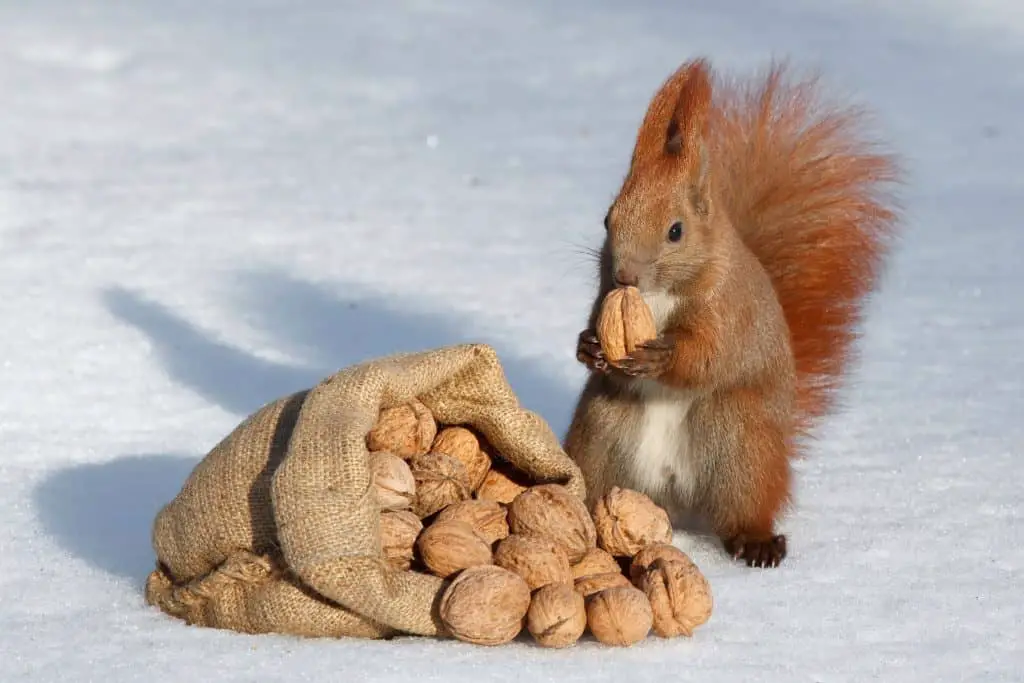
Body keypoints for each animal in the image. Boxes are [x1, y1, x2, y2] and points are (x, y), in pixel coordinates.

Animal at [565, 57, 901, 565]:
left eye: (676, 231)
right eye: (608, 218)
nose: (625, 276)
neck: (660, 294)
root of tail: (674, 498)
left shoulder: (728, 309)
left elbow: (711, 355)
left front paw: (663, 356)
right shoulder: (604, 294)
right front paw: (589, 347)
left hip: (738, 439)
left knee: (743, 505)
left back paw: (756, 541)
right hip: (601, 436)